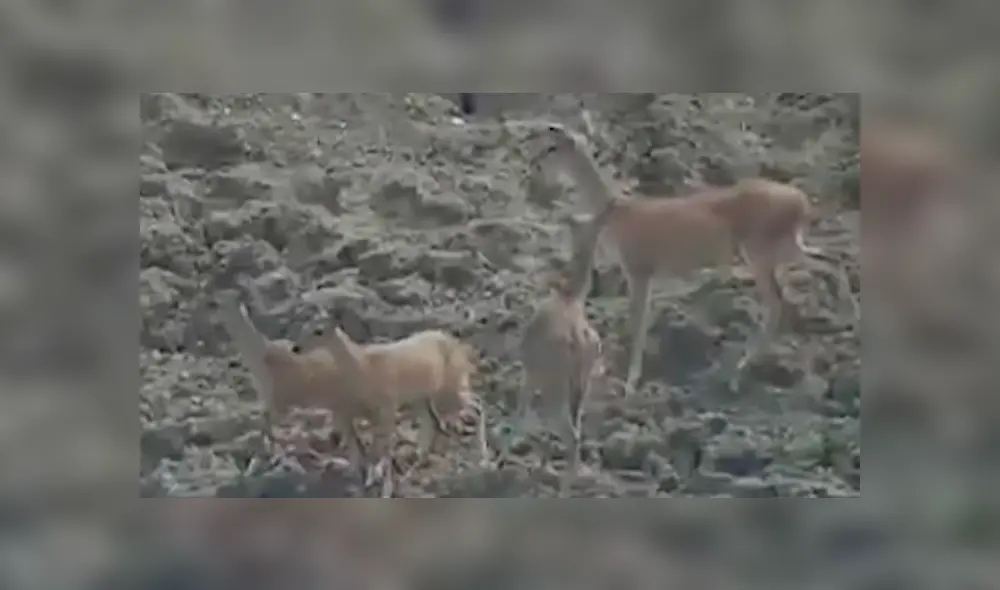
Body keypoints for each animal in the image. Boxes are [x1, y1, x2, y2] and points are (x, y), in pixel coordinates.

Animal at [295, 322, 490, 497]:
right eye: (304, 327)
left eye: (318, 330)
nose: (296, 348)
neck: (365, 367)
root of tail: (460, 348)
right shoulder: (367, 412)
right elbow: (370, 446)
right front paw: (370, 479)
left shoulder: (387, 407)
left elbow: (383, 447)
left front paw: (382, 486)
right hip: (424, 397)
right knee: (431, 422)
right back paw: (416, 463)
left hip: (453, 386)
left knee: (477, 405)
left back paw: (483, 458)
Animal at [517, 201, 617, 496]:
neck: (569, 297)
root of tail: (576, 339)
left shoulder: (530, 374)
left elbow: (522, 414)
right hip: (577, 387)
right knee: (576, 431)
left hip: (555, 388)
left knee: (568, 433)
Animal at [529, 118, 858, 394]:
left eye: (553, 147)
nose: (535, 166)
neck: (619, 212)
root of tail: (801, 202)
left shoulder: (639, 273)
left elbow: (637, 325)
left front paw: (630, 384)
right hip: (786, 248)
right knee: (831, 262)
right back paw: (849, 321)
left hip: (763, 255)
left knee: (778, 303)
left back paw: (737, 374)